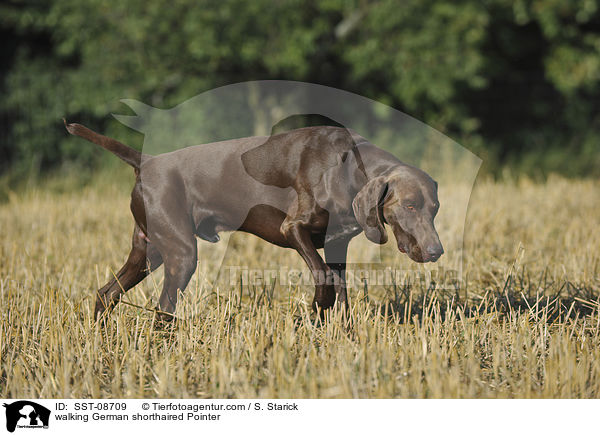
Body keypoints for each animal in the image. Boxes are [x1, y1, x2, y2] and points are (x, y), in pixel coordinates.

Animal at [64, 121, 440, 322]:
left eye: (434, 208)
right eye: (409, 205)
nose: (436, 251)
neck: (348, 168)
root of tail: (147, 161)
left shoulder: (337, 245)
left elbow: (341, 287)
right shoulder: (294, 229)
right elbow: (322, 277)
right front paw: (314, 314)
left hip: (148, 251)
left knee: (107, 293)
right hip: (180, 254)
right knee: (163, 309)